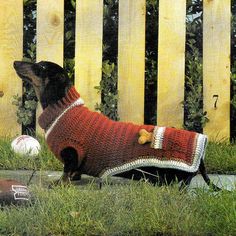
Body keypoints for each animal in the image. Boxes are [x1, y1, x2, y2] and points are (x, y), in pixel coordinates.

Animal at [13, 60, 221, 190]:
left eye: (40, 66)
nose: (15, 62)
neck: (64, 110)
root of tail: (200, 150)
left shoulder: (71, 151)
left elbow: (67, 170)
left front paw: (60, 183)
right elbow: (74, 171)